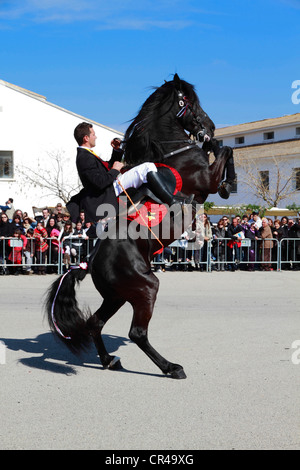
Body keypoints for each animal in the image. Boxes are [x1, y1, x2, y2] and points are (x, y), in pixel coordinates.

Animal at [45, 74, 234, 382]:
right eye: (189, 101)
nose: (210, 126)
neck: (173, 153)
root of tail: (90, 262)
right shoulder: (207, 180)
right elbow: (227, 151)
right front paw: (231, 183)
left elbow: (221, 148)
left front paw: (216, 149)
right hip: (146, 287)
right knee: (137, 333)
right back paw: (171, 368)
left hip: (118, 295)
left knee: (95, 323)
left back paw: (109, 360)